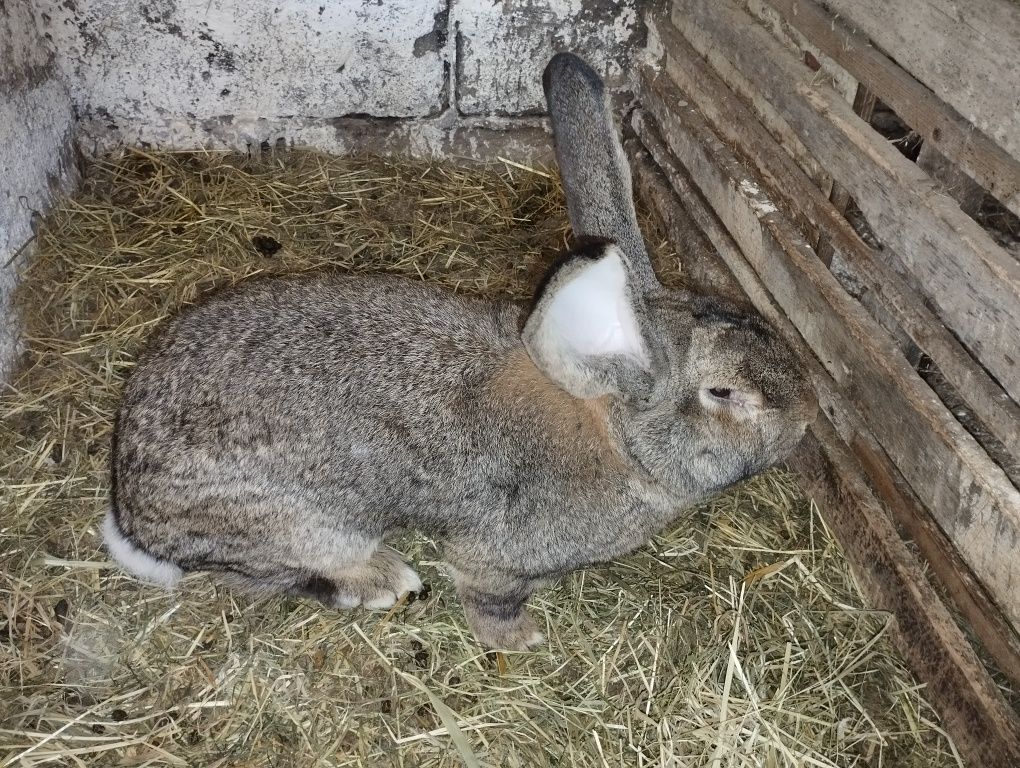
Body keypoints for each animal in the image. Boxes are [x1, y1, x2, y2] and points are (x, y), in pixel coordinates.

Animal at [103, 50, 816, 648]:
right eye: (723, 392)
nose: (808, 418)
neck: (617, 439)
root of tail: (130, 502)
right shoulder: (495, 559)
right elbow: (489, 593)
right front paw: (520, 641)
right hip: (291, 524)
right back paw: (384, 580)